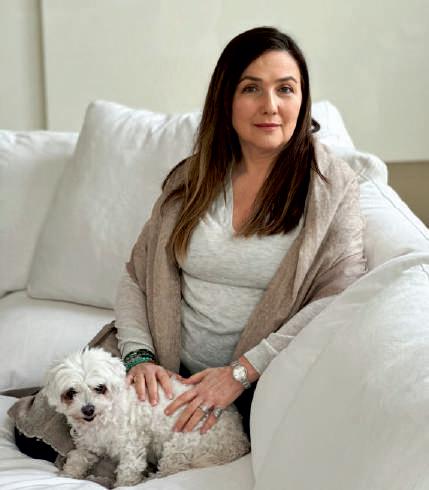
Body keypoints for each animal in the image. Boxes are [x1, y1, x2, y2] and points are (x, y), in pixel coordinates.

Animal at [43, 348, 250, 487]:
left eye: (100, 388)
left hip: (181, 443)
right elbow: (78, 458)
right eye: (71, 393)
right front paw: (68, 475)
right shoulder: (91, 445)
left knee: (170, 470)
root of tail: (238, 442)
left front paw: (125, 485)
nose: (88, 409)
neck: (105, 418)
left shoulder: (131, 446)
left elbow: (128, 472)